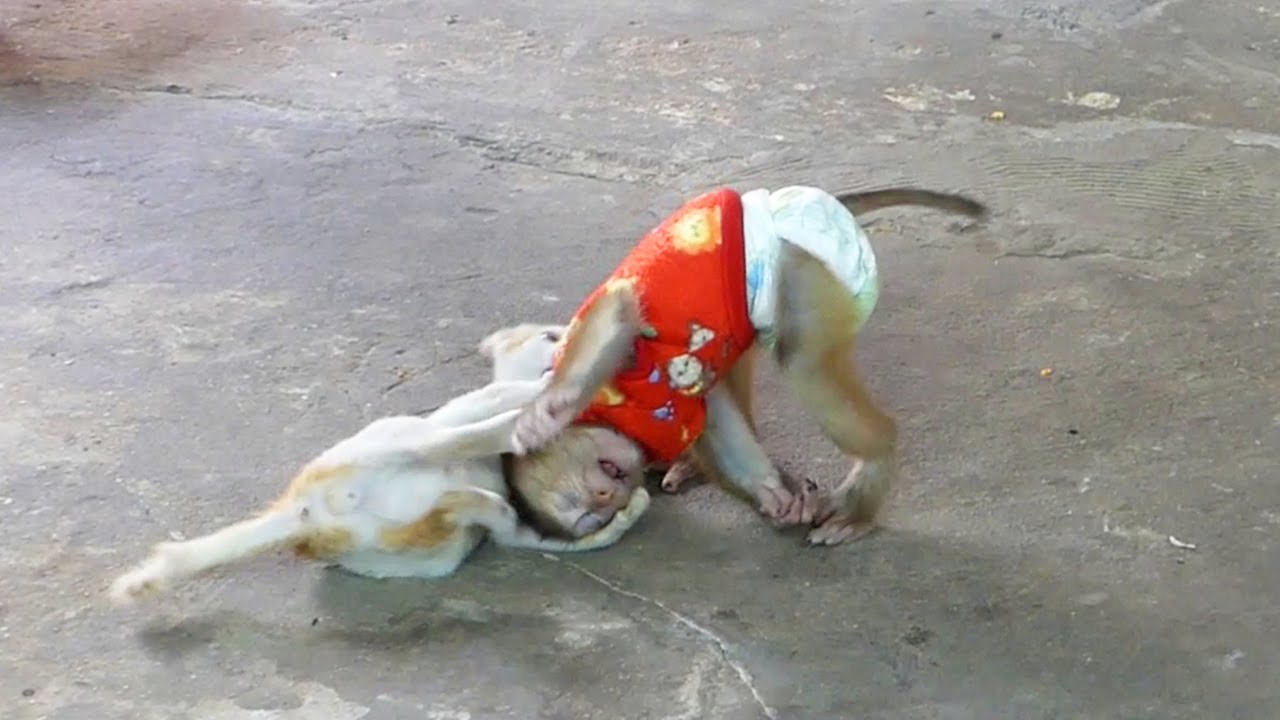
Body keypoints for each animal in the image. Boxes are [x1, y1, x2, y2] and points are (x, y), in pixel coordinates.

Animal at [108, 327, 651, 606]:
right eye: (550, 333)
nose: (566, 336)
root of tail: (304, 520)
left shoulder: (514, 533)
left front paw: (626, 509)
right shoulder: (485, 402)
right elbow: (516, 395)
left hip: (431, 552)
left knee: (470, 509)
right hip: (400, 445)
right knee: (468, 440)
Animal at [510, 186, 987, 546]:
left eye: (601, 483)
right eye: (597, 514)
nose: (609, 492)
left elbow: (620, 308)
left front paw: (550, 408)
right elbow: (715, 411)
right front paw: (776, 499)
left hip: (802, 267)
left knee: (802, 361)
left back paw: (875, 467)